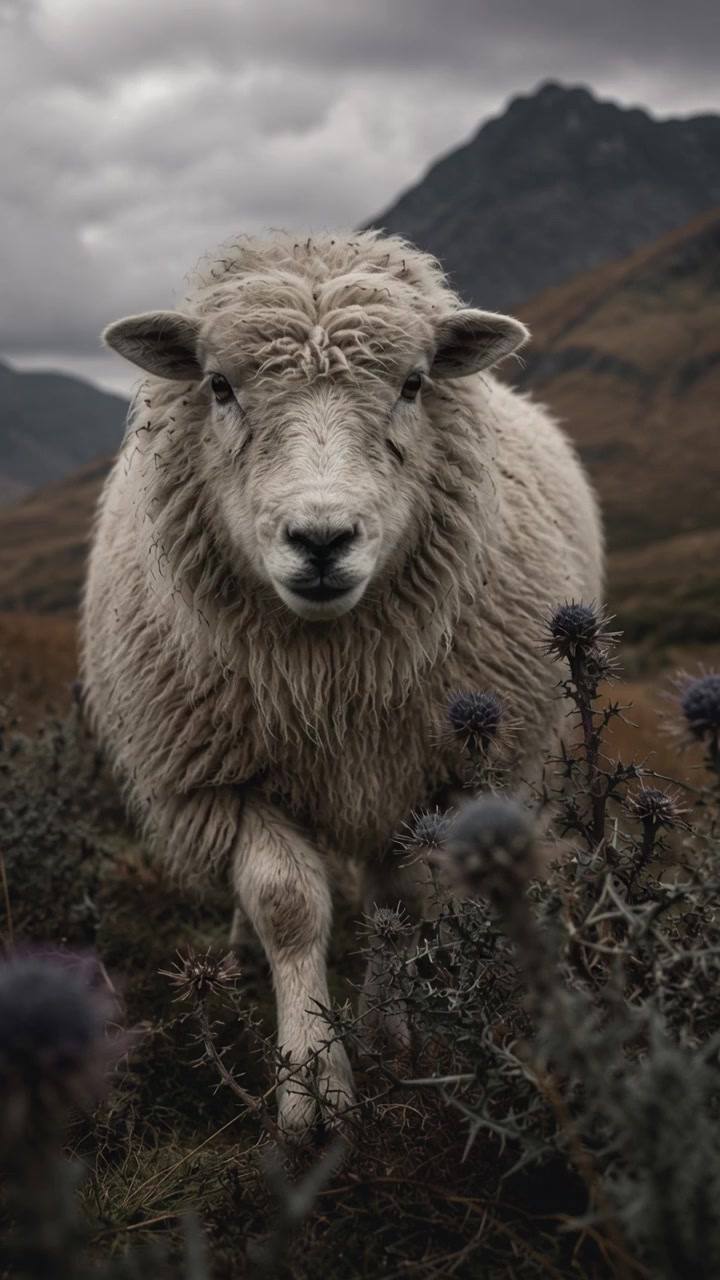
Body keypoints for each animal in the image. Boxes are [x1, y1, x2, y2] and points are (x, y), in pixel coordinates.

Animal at [82, 230, 603, 1134]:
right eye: (219, 385)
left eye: (414, 383)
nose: (321, 539)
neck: (331, 675)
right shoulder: (225, 779)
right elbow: (288, 908)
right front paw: (312, 1089)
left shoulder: (437, 774)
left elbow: (400, 907)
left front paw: (386, 1036)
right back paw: (239, 955)